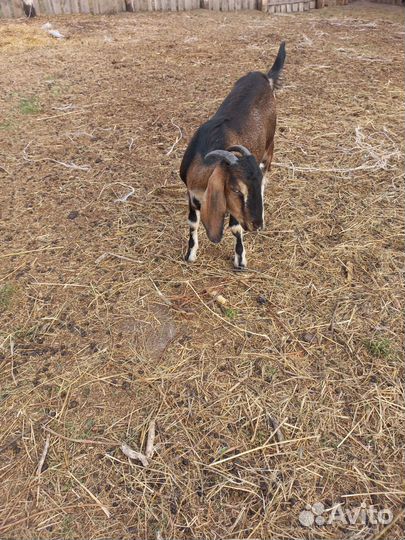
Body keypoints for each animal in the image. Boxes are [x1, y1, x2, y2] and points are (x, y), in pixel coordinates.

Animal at [178, 41, 286, 268]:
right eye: (236, 189)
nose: (258, 224)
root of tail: (264, 76)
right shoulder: (190, 194)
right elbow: (192, 222)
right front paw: (190, 254)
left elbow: (235, 228)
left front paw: (240, 259)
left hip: (269, 146)